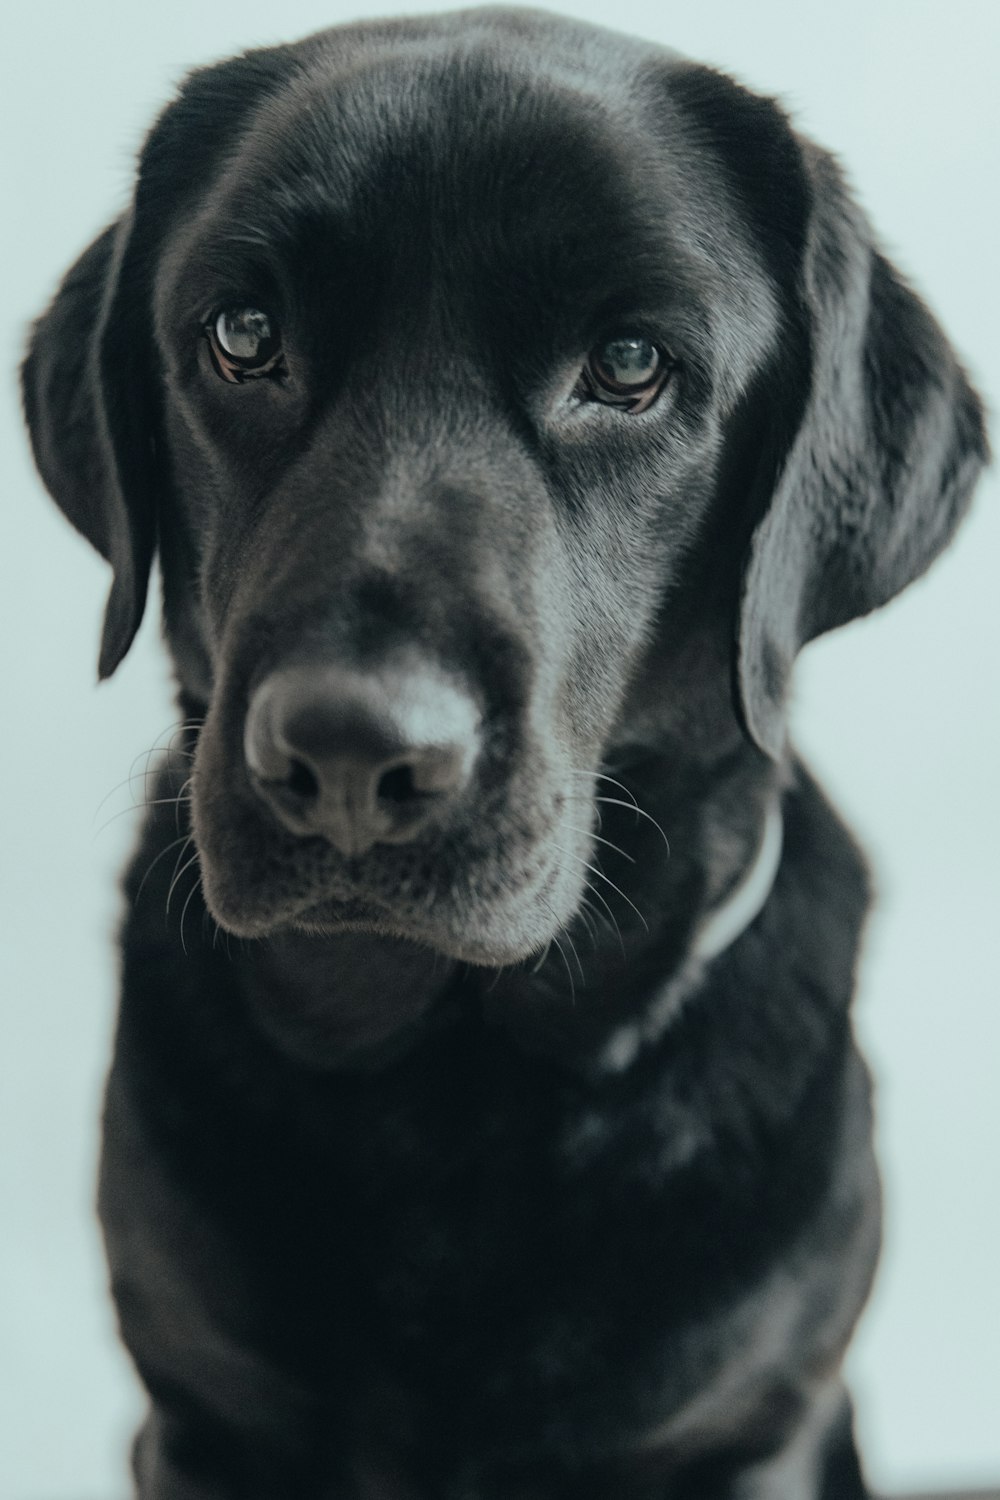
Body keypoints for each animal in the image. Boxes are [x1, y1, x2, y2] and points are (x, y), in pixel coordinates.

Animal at [21, 11, 983, 1500]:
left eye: (632, 365)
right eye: (243, 334)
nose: (351, 752)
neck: (453, 1088)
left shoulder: (749, 1424)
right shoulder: (200, 1415)